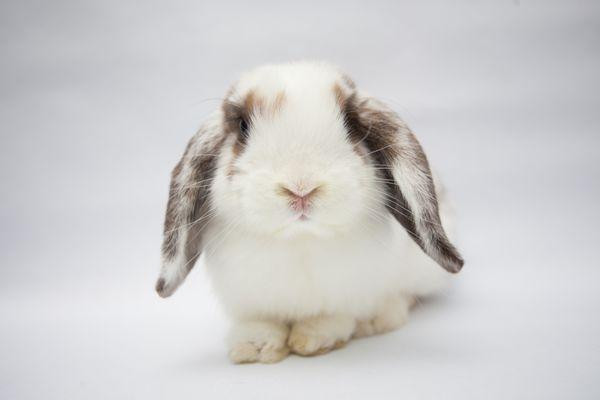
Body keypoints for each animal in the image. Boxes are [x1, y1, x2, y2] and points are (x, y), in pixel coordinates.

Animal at [155, 61, 464, 362]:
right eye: (243, 126)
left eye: (350, 123)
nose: (301, 187)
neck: (300, 239)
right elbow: (261, 321)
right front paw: (253, 347)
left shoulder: (347, 292)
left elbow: (333, 317)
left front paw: (314, 339)